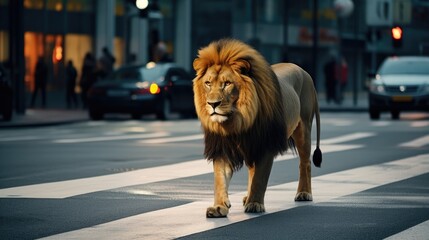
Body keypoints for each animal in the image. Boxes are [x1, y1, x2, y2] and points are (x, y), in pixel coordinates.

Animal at [192, 39, 320, 218]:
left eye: (227, 84)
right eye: (208, 83)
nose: (213, 104)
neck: (238, 121)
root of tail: (303, 71)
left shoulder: (265, 144)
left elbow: (260, 178)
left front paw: (255, 204)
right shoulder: (222, 147)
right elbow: (220, 179)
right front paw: (218, 207)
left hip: (304, 128)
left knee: (305, 162)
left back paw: (304, 193)